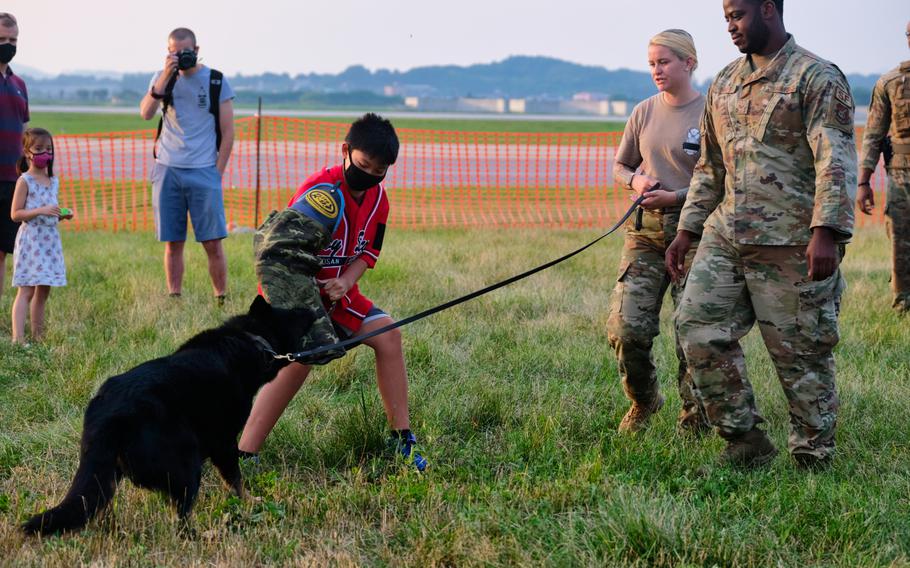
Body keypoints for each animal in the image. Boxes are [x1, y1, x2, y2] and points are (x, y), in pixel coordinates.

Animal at [22, 298, 314, 536]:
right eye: (292, 314)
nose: (312, 309)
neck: (250, 338)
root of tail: (109, 416)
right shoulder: (224, 443)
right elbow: (235, 479)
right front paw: (250, 501)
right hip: (187, 464)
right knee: (181, 520)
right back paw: (203, 535)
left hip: (107, 472)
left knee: (96, 503)